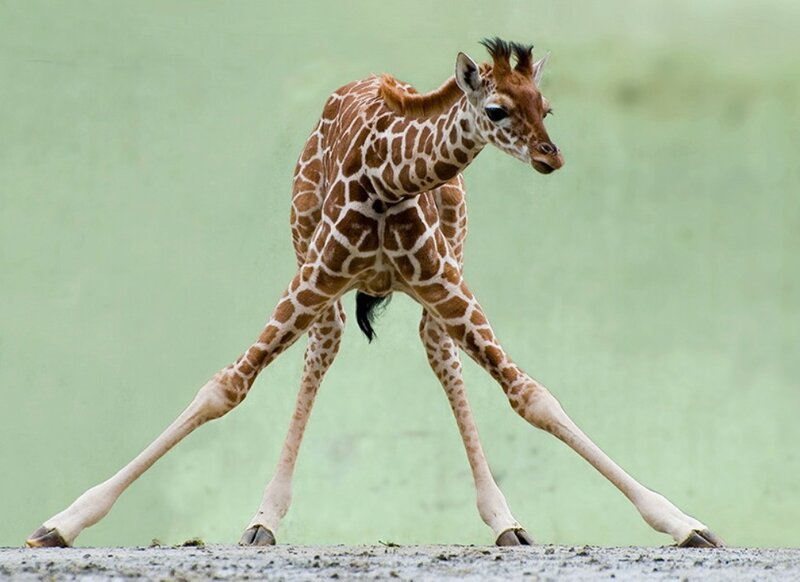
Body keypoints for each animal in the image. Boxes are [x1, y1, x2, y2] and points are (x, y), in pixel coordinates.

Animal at [27, 38, 722, 549]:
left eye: (545, 107)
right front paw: (63, 521)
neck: (391, 180)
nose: (552, 157)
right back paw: (264, 520)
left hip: (447, 269)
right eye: (498, 109)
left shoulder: (444, 284)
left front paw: (683, 522)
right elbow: (226, 386)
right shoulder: (314, 276)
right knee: (325, 344)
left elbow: (532, 395)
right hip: (308, 257)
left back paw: (504, 520)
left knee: (437, 351)